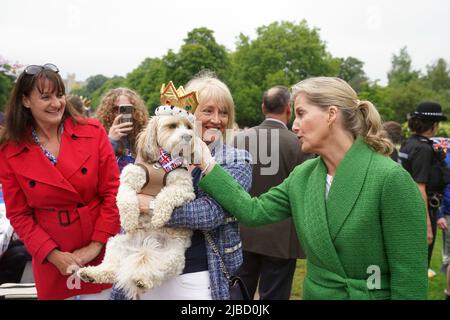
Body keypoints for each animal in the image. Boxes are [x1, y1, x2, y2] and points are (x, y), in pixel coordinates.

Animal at [78, 114, 198, 298]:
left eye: (189, 127)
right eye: (172, 125)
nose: (188, 136)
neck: (161, 162)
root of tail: (143, 247)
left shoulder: (184, 189)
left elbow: (166, 195)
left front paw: (159, 217)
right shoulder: (129, 178)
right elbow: (126, 199)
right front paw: (129, 221)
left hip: (171, 257)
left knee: (156, 271)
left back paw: (142, 280)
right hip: (116, 244)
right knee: (112, 269)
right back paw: (90, 274)